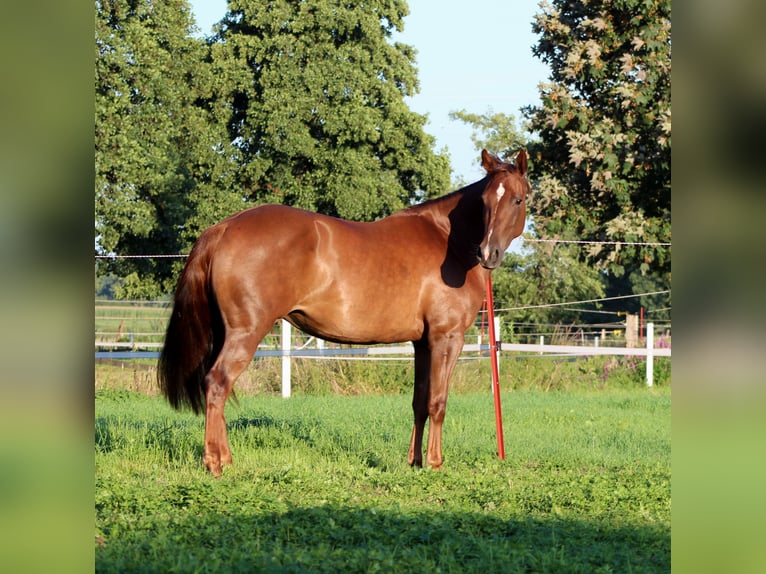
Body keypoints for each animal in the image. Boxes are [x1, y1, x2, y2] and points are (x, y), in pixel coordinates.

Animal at [158, 149, 528, 477]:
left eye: (517, 199)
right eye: (485, 201)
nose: (488, 253)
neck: (447, 241)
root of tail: (224, 228)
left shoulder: (421, 343)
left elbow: (419, 402)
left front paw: (415, 462)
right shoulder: (446, 338)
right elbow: (437, 402)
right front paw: (436, 463)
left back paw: (225, 458)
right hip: (245, 333)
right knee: (218, 383)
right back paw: (215, 464)